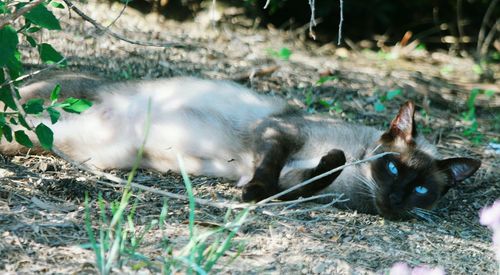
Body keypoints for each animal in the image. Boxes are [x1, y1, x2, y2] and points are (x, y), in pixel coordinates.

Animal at [0, 73, 484, 220]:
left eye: (421, 190)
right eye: (394, 169)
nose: (397, 199)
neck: (353, 186)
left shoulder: (295, 179)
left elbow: (306, 177)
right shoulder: (278, 133)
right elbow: (275, 170)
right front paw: (251, 194)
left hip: (49, 143)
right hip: (36, 117)